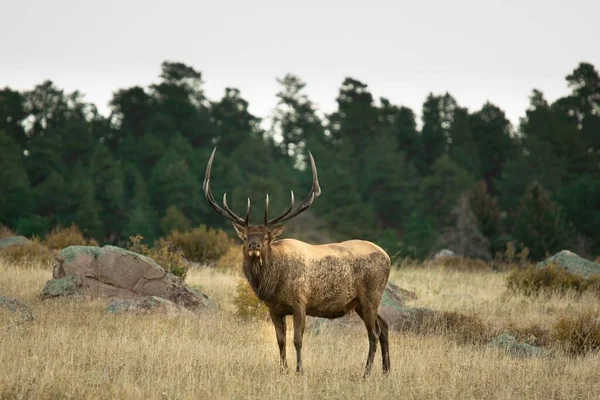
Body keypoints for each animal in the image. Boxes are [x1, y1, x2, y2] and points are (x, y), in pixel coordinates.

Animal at [204, 147, 392, 376]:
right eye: (246, 237)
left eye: (266, 237)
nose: (254, 245)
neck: (273, 284)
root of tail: (387, 256)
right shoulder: (274, 308)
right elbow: (280, 340)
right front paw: (283, 369)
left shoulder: (300, 301)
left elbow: (297, 340)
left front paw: (299, 370)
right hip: (360, 302)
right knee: (384, 327)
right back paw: (386, 370)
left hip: (371, 295)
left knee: (374, 333)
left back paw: (366, 373)